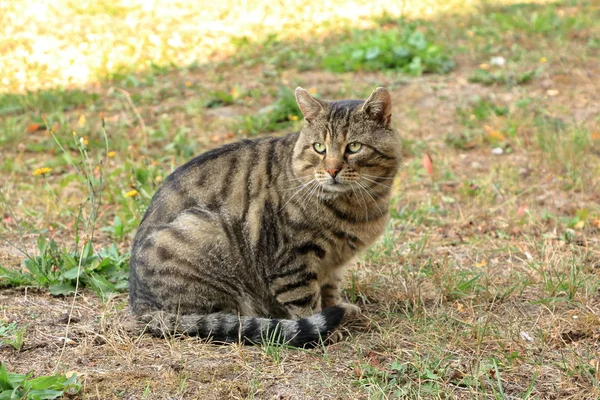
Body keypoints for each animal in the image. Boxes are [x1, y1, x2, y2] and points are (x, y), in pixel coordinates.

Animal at [130, 85, 404, 346]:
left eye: (354, 147)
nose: (332, 170)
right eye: (319, 148)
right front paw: (324, 330)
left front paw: (339, 308)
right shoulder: (290, 261)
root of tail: (139, 307)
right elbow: (305, 301)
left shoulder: (332, 263)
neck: (358, 204)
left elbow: (329, 288)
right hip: (201, 232)